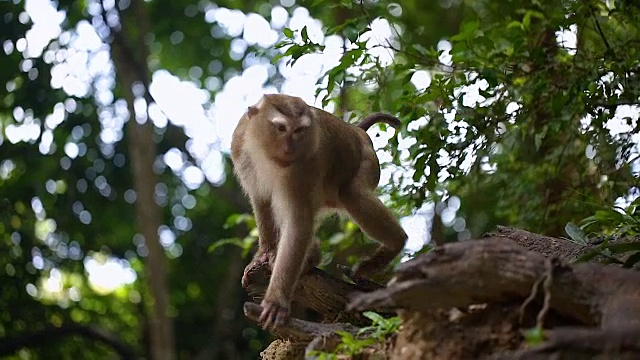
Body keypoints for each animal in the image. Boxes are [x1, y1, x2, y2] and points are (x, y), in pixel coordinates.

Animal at [232, 93, 408, 330]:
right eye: (281, 128)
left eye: (299, 130)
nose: (290, 148)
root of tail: (356, 130)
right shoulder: (240, 148)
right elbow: (262, 201)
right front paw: (266, 253)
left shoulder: (303, 167)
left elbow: (298, 222)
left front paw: (277, 300)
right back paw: (312, 255)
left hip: (367, 163)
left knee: (352, 194)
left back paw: (395, 243)